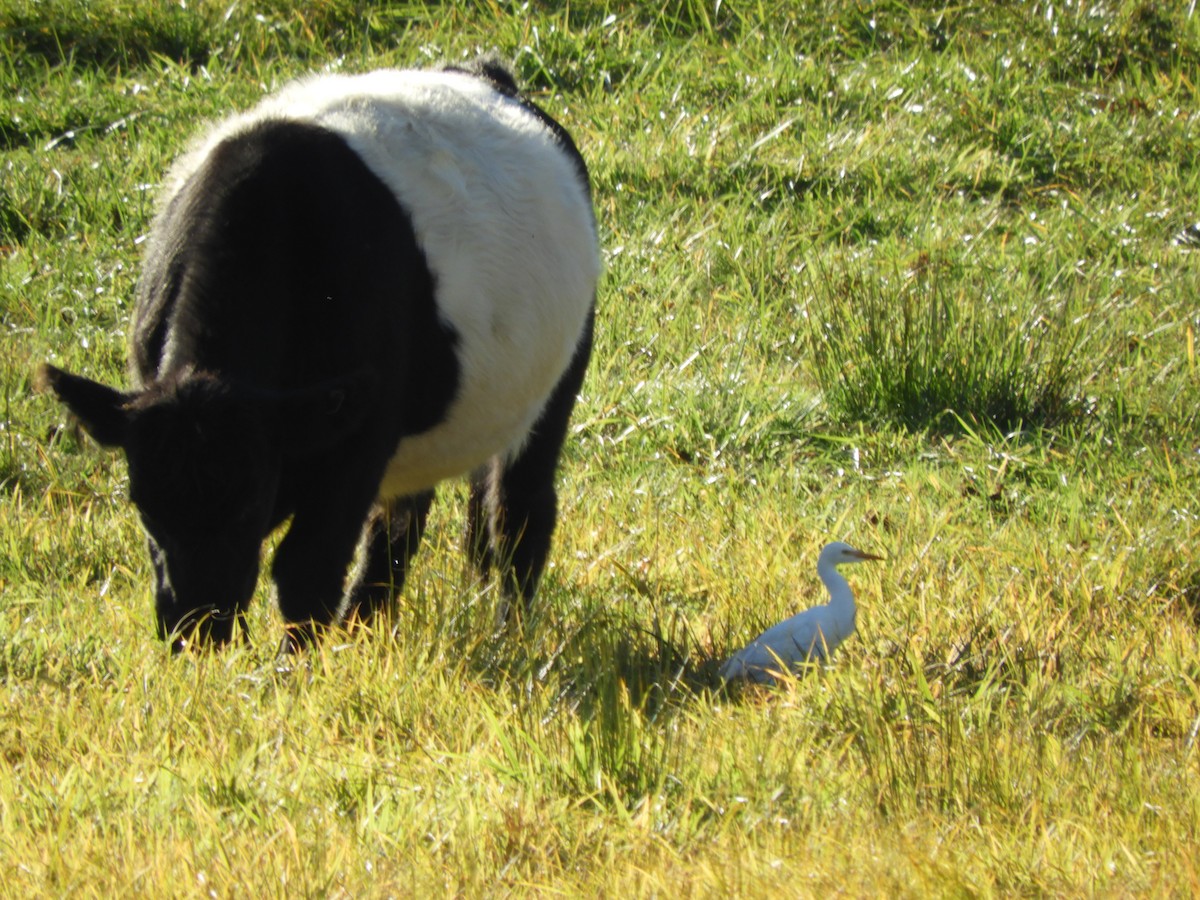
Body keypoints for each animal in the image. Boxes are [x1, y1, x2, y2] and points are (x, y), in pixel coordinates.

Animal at [38, 59, 599, 652]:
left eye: (249, 502)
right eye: (144, 506)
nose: (193, 628)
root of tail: (487, 73)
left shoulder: (360, 439)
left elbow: (305, 569)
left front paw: (296, 665)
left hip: (555, 388)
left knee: (518, 510)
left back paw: (507, 636)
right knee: (402, 522)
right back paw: (365, 622)